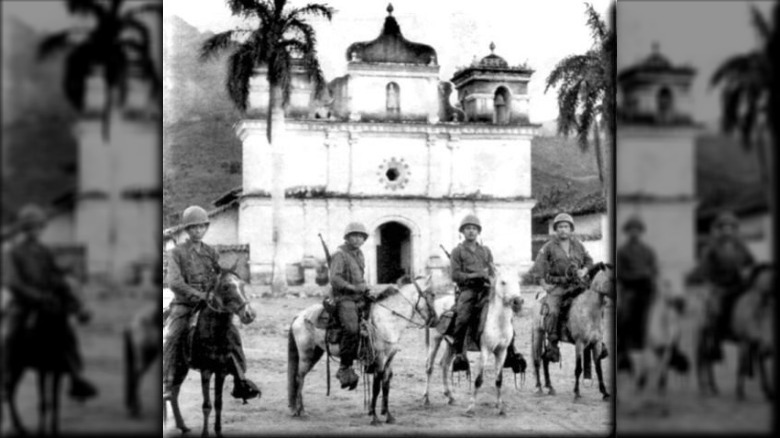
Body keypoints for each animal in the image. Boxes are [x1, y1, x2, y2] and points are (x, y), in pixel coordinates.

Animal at [164, 268, 256, 436]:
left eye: (242, 285)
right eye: (226, 287)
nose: (249, 315)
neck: (214, 335)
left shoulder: (221, 371)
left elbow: (218, 403)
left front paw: (218, 431)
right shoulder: (206, 371)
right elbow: (206, 405)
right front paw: (205, 433)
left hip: (181, 368)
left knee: (174, 393)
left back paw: (182, 426)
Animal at [286, 278, 436, 424]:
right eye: (431, 295)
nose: (434, 320)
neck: (387, 320)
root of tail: (299, 316)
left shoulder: (389, 360)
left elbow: (386, 386)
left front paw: (388, 416)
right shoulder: (379, 360)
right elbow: (376, 387)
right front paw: (374, 417)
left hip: (316, 353)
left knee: (300, 378)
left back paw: (298, 410)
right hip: (306, 355)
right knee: (299, 378)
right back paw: (301, 411)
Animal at [418, 266, 520, 414]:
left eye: (518, 281)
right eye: (503, 282)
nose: (518, 302)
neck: (498, 321)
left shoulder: (502, 352)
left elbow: (498, 380)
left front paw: (500, 407)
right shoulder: (485, 351)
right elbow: (478, 380)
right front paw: (471, 407)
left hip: (452, 344)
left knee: (444, 364)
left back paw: (450, 396)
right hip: (435, 338)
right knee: (429, 366)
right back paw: (426, 398)